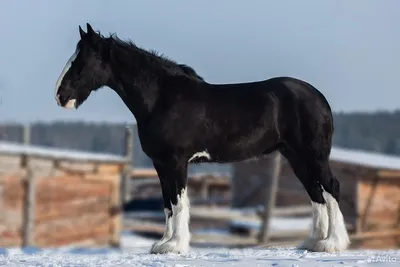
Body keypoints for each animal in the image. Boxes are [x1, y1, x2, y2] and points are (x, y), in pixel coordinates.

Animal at [54, 24, 348, 254]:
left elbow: (178, 202)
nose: (60, 96)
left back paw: (333, 243)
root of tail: (319, 98)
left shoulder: (176, 162)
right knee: (316, 194)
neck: (161, 98)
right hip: (296, 157)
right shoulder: (161, 164)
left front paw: (175, 245)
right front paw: (163, 244)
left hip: (313, 156)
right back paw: (314, 242)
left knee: (331, 188)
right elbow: (167, 204)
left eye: (81, 62)